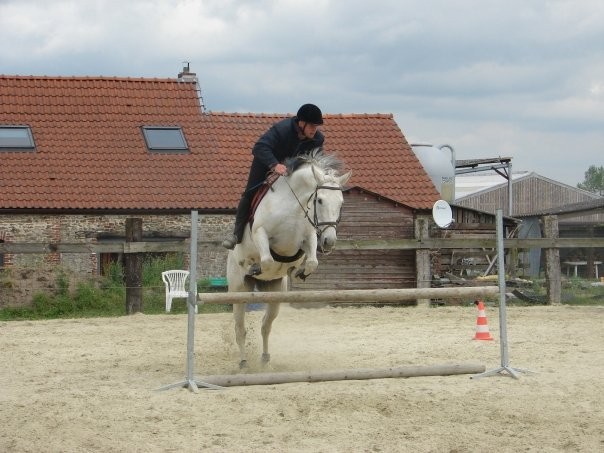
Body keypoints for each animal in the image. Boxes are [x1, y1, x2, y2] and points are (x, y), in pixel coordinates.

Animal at [226, 148, 352, 368]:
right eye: (320, 200)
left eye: (341, 203)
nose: (329, 241)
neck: (294, 206)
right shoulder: (261, 233)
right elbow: (268, 260)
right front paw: (258, 268)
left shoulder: (308, 237)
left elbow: (312, 261)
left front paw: (300, 271)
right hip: (238, 290)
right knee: (240, 329)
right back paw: (243, 362)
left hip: (275, 293)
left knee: (265, 326)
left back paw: (265, 359)